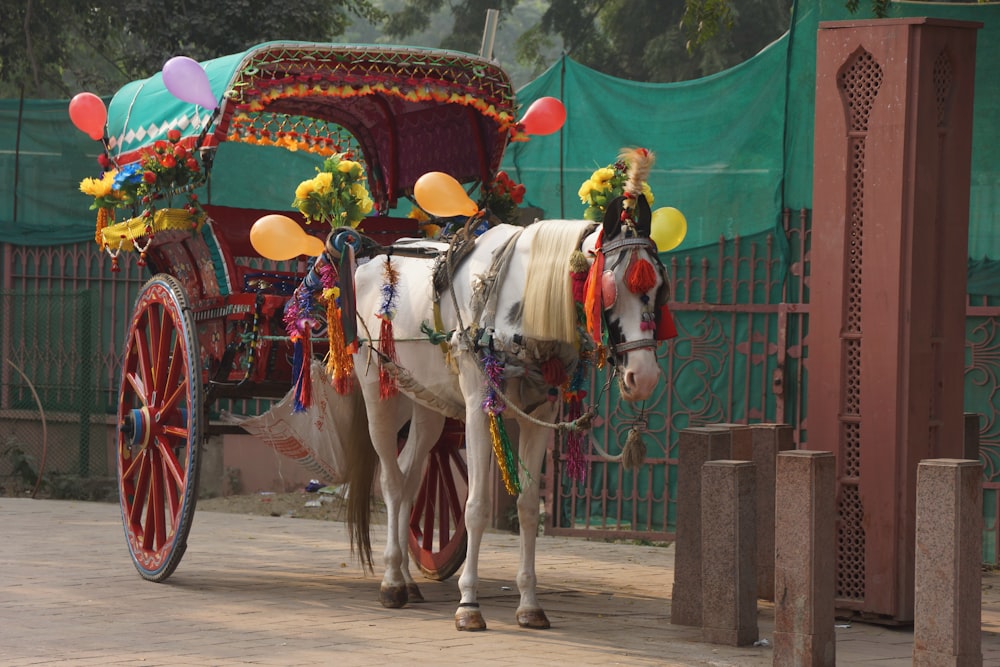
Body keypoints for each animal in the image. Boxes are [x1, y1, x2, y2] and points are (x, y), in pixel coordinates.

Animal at [342, 151, 664, 632]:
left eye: (659, 285)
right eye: (610, 287)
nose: (643, 377)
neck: (525, 304)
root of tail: (370, 258)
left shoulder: (542, 414)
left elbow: (529, 505)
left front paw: (530, 603)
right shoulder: (480, 407)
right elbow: (474, 507)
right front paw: (469, 604)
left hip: (428, 402)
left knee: (412, 475)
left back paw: (409, 580)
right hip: (380, 393)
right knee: (392, 481)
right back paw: (393, 581)